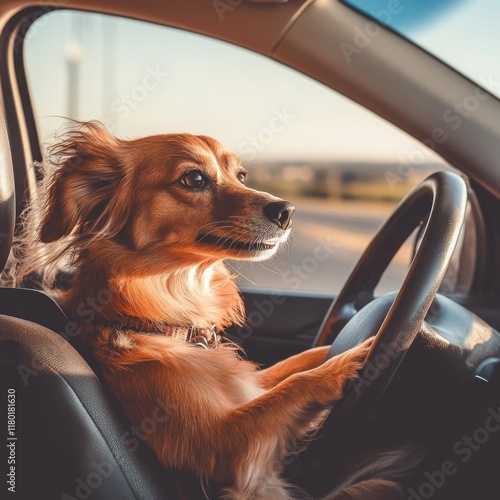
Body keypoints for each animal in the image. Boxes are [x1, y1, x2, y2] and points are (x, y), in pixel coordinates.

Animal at [10, 122, 376, 500]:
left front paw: (338, 346)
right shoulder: (222, 443)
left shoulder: (246, 386)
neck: (158, 321)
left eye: (240, 175)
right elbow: (293, 386)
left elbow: (289, 368)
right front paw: (356, 356)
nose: (286, 211)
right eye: (195, 179)